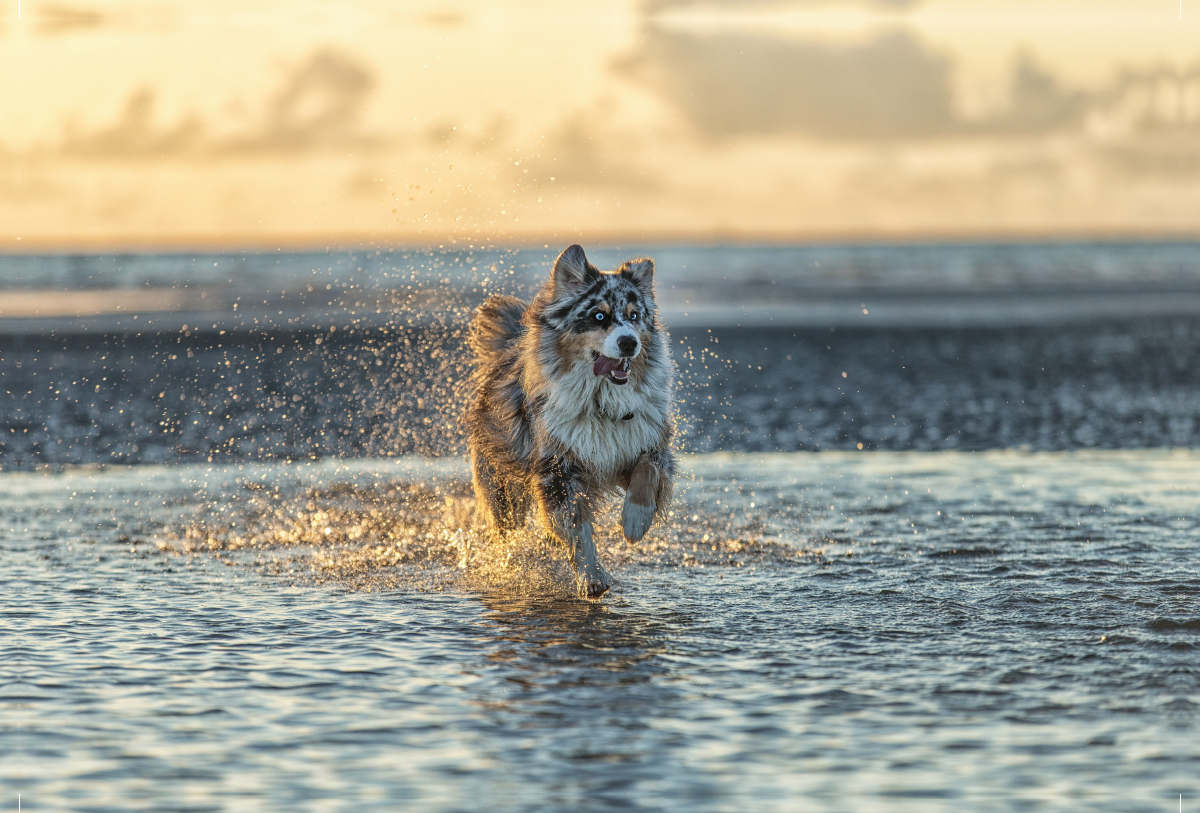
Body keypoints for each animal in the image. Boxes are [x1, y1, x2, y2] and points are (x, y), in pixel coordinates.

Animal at [465, 243, 676, 599]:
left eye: (635, 316)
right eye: (599, 316)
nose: (629, 343)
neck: (601, 401)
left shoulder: (646, 441)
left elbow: (648, 472)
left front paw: (635, 521)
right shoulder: (558, 468)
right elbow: (576, 528)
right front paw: (592, 577)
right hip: (502, 488)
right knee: (507, 529)